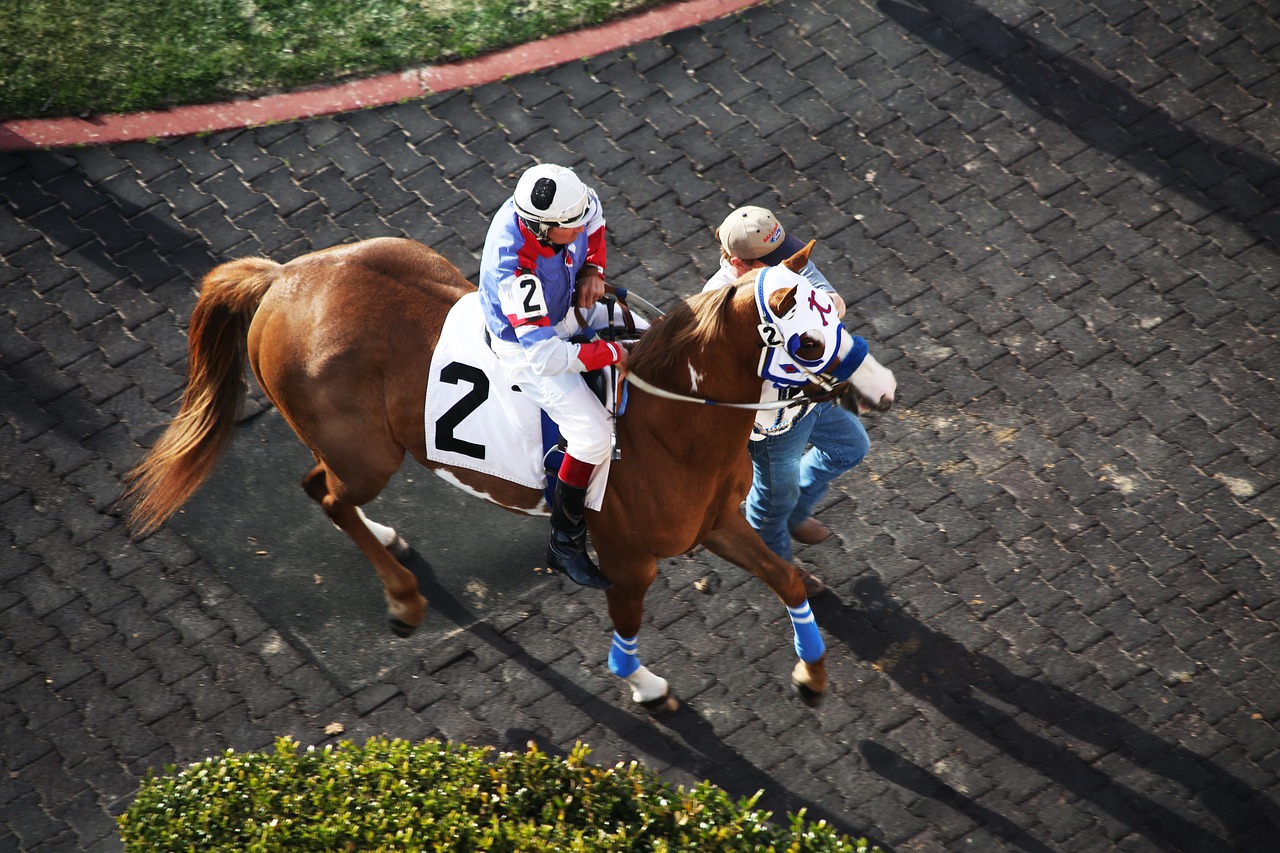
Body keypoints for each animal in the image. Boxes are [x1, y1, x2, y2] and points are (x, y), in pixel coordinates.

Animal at [124, 235, 896, 706]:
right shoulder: (629, 559)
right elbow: (628, 623)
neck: (669, 421)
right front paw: (643, 684)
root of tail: (285, 278)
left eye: (837, 308)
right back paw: (403, 598)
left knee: (326, 490)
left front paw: (811, 671)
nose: (882, 387)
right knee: (327, 493)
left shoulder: (716, 523)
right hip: (367, 454)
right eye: (806, 339)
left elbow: (786, 577)